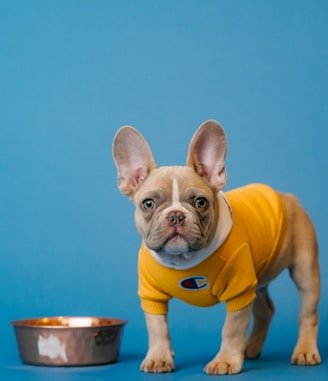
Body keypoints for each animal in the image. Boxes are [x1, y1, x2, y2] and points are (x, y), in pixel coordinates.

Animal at [112, 120, 320, 372]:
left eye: (201, 202)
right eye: (148, 203)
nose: (175, 215)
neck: (183, 260)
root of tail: (289, 197)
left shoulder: (239, 290)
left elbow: (232, 329)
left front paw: (226, 361)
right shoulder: (152, 296)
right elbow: (157, 328)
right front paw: (159, 357)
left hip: (304, 271)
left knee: (307, 313)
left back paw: (305, 351)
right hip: (257, 280)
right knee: (265, 310)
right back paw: (251, 349)